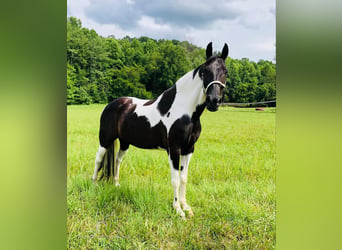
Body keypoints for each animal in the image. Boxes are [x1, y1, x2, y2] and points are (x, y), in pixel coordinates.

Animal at [92, 42, 228, 218]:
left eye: (225, 71)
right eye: (205, 71)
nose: (214, 101)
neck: (185, 111)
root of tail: (113, 104)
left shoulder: (189, 149)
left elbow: (184, 178)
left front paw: (186, 207)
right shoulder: (174, 149)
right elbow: (175, 179)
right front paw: (178, 210)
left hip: (124, 143)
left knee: (117, 160)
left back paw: (116, 185)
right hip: (105, 139)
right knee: (98, 159)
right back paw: (94, 185)